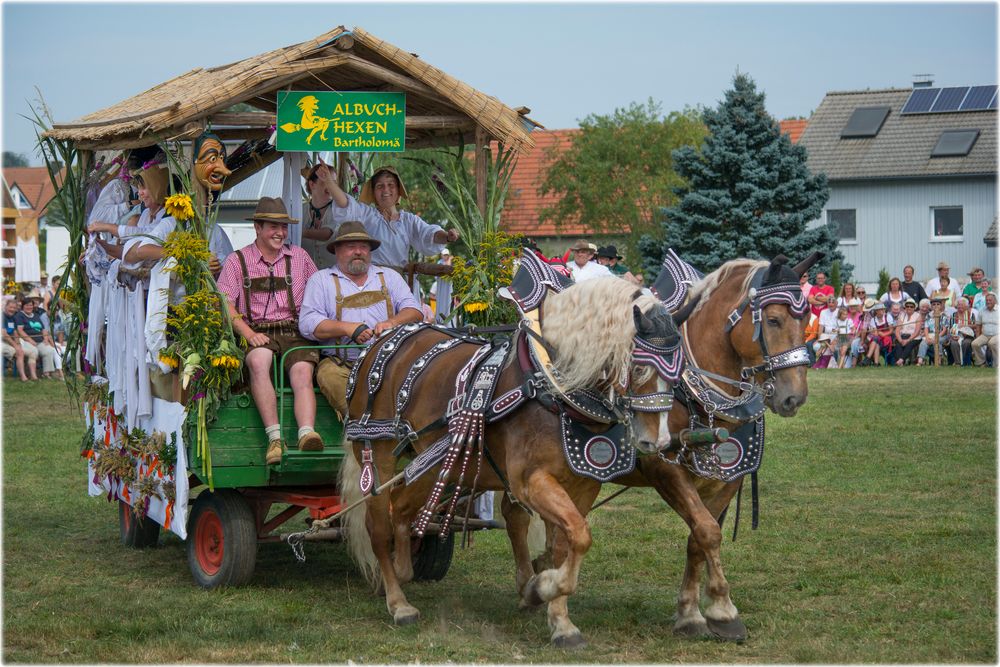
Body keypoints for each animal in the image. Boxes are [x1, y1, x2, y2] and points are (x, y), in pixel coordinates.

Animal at [340, 276, 684, 648]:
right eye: (639, 366)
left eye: (677, 374)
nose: (658, 441)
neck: (553, 387)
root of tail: (381, 340)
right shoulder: (530, 481)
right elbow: (579, 536)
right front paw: (541, 587)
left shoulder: (583, 483)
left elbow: (568, 543)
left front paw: (558, 617)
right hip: (377, 452)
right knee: (378, 526)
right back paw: (398, 601)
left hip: (433, 461)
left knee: (402, 507)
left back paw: (403, 569)